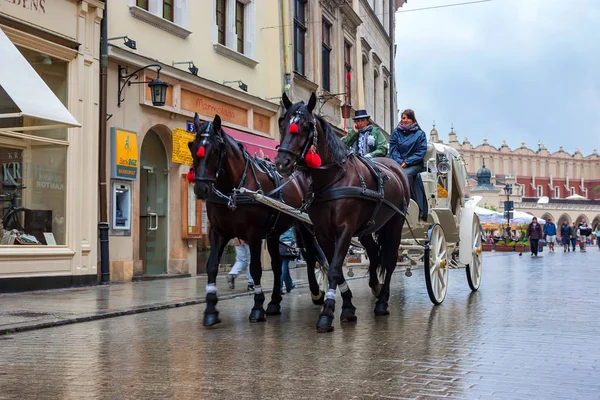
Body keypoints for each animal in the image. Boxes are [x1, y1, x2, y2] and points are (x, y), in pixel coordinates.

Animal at [189, 111, 326, 324]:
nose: (201, 189)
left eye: (215, 150)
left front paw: (257, 307)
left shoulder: (252, 235)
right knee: (278, 265)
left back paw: (316, 293)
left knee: (311, 257)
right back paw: (275, 302)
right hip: (275, 231)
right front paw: (211, 309)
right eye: (193, 147)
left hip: (305, 225)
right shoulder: (218, 232)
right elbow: (212, 266)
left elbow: (255, 268)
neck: (235, 190)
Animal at [274, 93, 410, 332]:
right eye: (282, 123)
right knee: (374, 254)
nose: (282, 163)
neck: (332, 180)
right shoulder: (322, 232)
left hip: (395, 224)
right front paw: (347, 307)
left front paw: (327, 312)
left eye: (306, 126)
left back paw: (382, 302)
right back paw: (375, 286)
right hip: (367, 230)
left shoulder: (345, 230)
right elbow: (331, 266)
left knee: (390, 261)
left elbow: (335, 268)